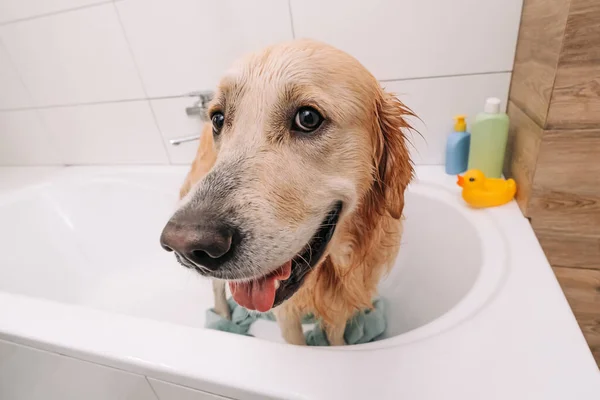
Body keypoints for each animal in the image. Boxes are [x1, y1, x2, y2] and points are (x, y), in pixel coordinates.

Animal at [159, 41, 412, 346]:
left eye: (308, 118)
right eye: (219, 118)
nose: (184, 246)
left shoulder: (340, 305)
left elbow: (337, 337)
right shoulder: (287, 315)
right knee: (217, 288)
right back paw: (224, 317)